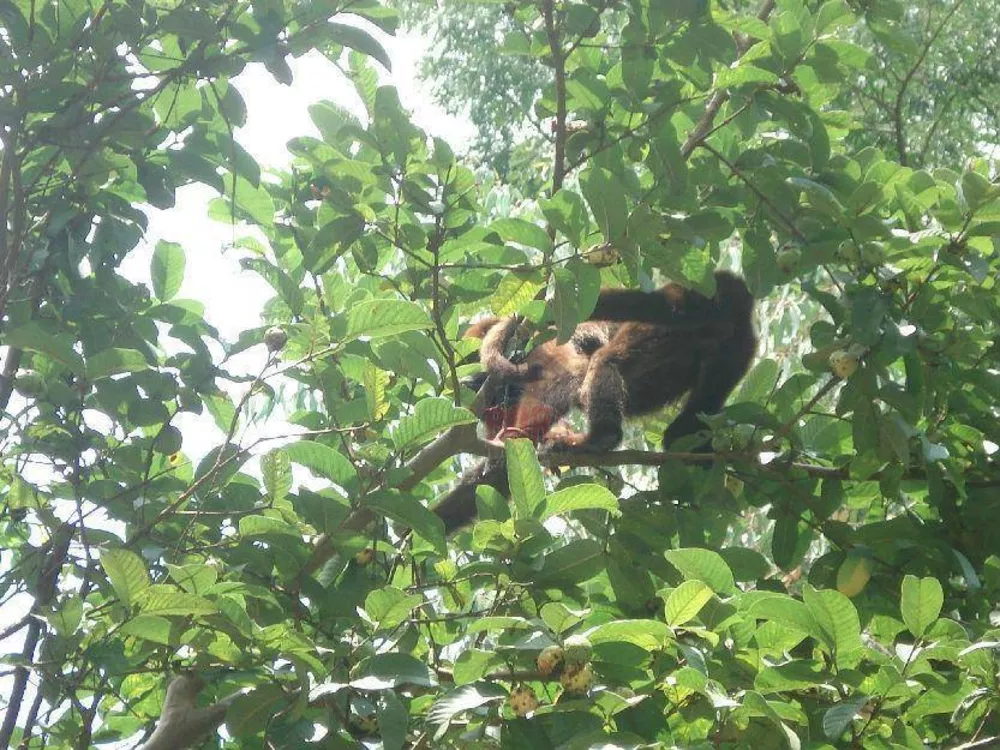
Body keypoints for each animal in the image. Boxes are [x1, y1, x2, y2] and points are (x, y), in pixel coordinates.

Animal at [432, 270, 756, 536]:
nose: (494, 400)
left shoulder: (541, 347)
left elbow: (566, 378)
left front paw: (518, 437)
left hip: (673, 321)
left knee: (605, 357)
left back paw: (599, 438)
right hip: (738, 350)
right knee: (690, 416)